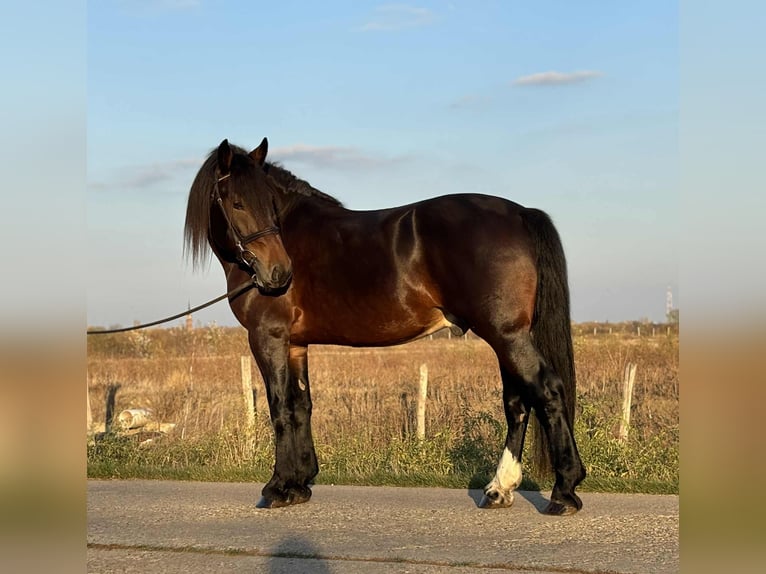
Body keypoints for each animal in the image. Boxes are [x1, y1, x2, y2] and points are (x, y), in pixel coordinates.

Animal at [184, 138, 586, 514]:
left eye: (268, 203)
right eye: (237, 203)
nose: (279, 273)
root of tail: (520, 213)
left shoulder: (268, 338)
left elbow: (280, 407)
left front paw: (278, 487)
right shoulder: (295, 344)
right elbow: (301, 405)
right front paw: (300, 483)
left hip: (507, 335)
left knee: (547, 391)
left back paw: (564, 490)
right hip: (507, 338)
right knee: (517, 402)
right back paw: (500, 488)